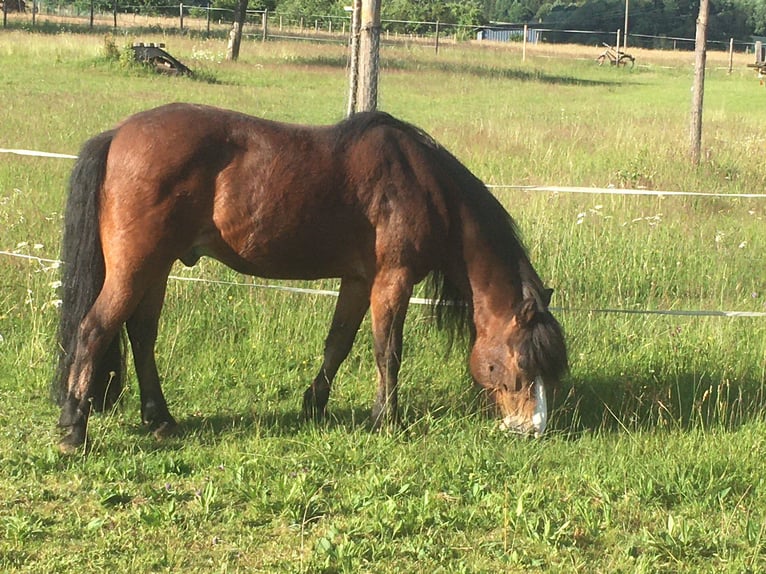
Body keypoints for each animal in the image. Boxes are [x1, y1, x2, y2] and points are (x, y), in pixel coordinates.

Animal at [54, 103, 568, 454]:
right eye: (523, 364)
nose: (533, 429)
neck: (421, 185)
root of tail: (118, 134)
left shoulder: (359, 281)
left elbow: (337, 343)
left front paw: (314, 405)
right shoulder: (393, 280)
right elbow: (388, 350)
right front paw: (387, 419)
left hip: (157, 267)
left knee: (141, 334)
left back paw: (159, 419)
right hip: (136, 265)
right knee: (95, 328)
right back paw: (73, 428)